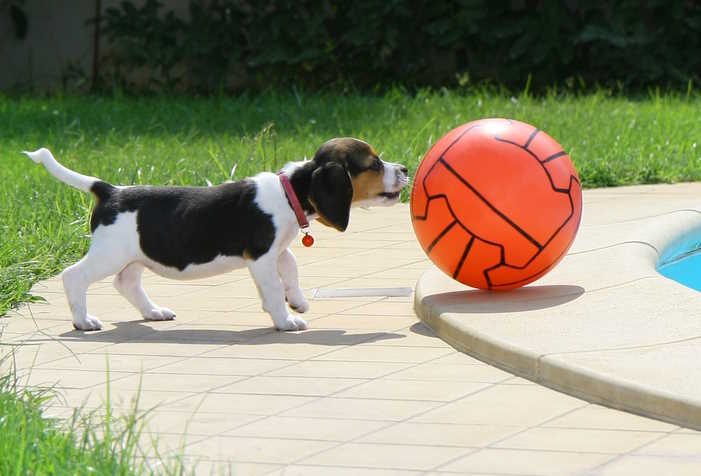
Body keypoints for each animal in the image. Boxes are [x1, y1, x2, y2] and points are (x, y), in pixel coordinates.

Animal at [24, 138, 408, 330]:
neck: (290, 192)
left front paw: (296, 299)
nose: (404, 168)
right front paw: (285, 319)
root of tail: (110, 191)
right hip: (109, 253)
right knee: (74, 277)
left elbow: (292, 267)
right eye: (374, 164)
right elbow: (272, 289)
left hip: (135, 255)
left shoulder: (277, 250)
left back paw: (153, 312)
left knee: (126, 283)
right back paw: (83, 321)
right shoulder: (262, 257)